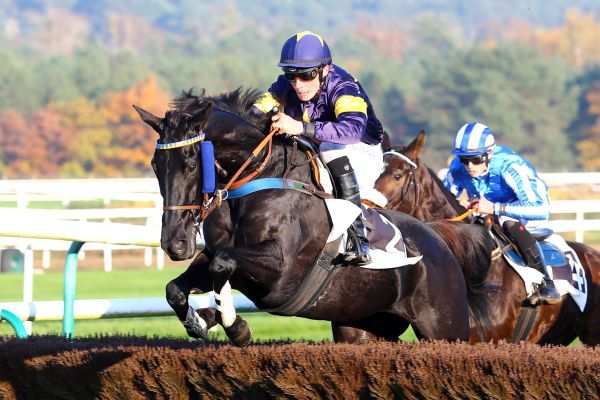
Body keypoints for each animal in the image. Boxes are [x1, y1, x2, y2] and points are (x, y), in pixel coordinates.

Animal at [134, 89, 472, 346]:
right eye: (155, 164)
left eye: (191, 163)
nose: (175, 244)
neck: (257, 175)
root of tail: (438, 240)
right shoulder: (214, 255)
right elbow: (178, 288)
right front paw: (200, 321)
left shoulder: (282, 270)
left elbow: (223, 264)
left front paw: (236, 326)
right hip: (363, 326)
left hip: (445, 327)